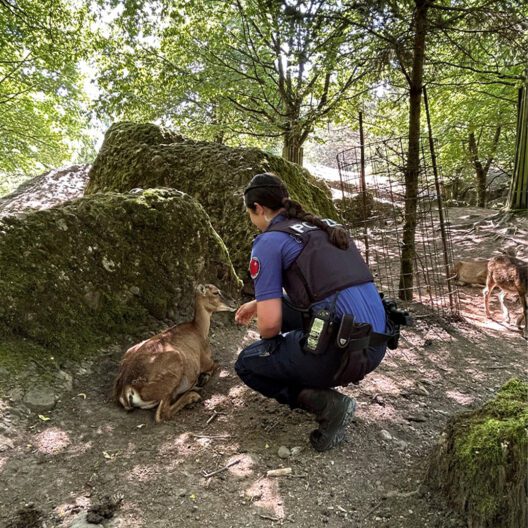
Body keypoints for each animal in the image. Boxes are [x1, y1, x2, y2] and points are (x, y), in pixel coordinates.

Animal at [113, 284, 233, 420]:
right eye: (215, 292)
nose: (233, 303)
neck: (199, 330)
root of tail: (126, 389)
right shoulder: (206, 360)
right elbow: (217, 364)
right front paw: (203, 378)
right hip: (173, 368)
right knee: (162, 413)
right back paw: (193, 395)